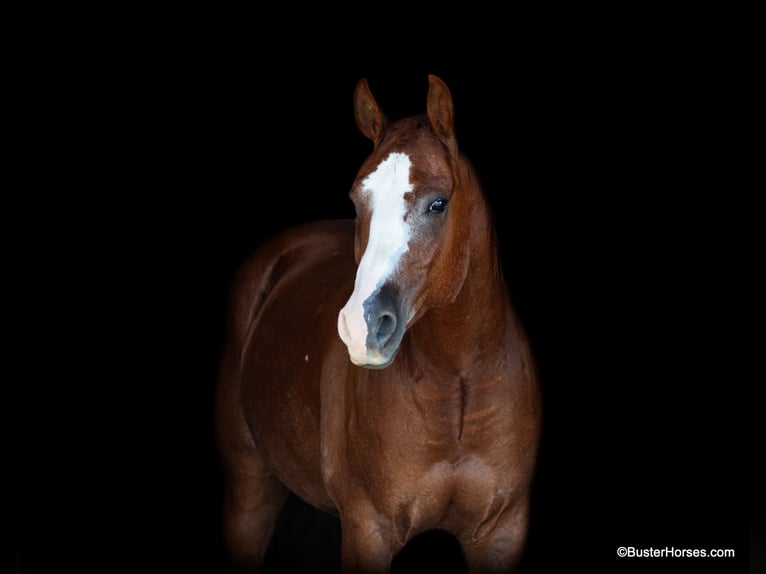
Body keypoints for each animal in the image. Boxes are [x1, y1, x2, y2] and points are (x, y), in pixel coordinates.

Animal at [216, 75, 541, 573]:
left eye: (438, 203)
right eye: (357, 200)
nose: (359, 327)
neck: (457, 386)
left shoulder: (502, 531)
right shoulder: (369, 530)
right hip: (250, 491)